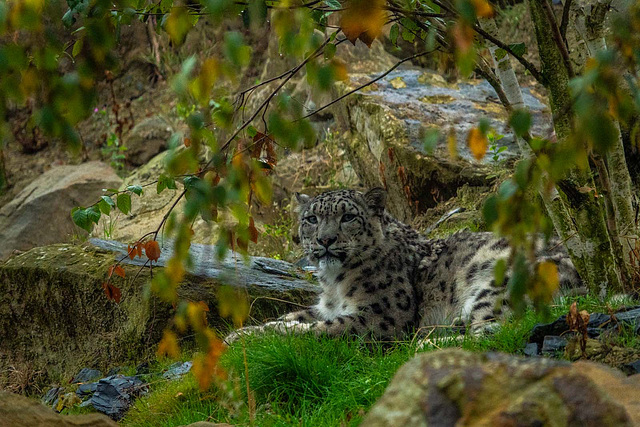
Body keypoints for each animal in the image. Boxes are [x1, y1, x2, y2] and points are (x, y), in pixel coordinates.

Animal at [224, 187, 580, 344]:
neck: (335, 283)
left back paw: (426, 343)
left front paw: (266, 335)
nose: (325, 240)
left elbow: (325, 328)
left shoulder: (382, 316)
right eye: (311, 219)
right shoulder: (326, 306)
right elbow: (296, 315)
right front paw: (241, 333)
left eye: (348, 216)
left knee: (495, 332)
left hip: (497, 286)